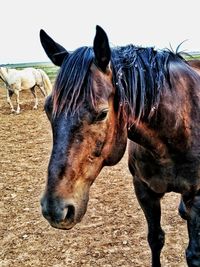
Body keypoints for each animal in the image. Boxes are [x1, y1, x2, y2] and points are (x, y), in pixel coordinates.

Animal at [39, 25, 200, 267]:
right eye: (48, 108)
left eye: (102, 113)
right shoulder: (144, 190)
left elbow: (193, 254)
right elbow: (155, 239)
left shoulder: (197, 197)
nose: (55, 209)